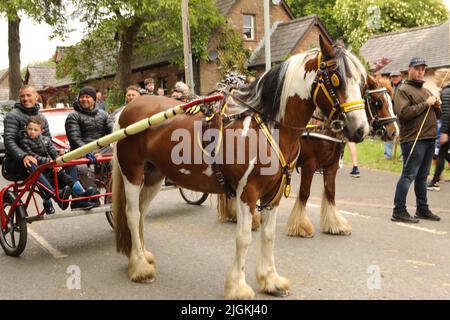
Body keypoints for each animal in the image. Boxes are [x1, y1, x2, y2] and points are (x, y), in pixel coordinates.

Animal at [111, 37, 370, 300]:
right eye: (336, 77)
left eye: (362, 82)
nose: (361, 129)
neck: (267, 126)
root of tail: (127, 108)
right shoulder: (248, 192)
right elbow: (244, 238)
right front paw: (238, 287)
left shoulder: (274, 193)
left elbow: (269, 234)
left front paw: (270, 280)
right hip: (132, 173)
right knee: (132, 215)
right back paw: (140, 268)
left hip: (154, 176)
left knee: (142, 212)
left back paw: (141, 256)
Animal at [218, 75, 398, 238]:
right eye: (377, 102)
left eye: (391, 101)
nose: (394, 132)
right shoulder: (309, 164)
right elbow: (305, 192)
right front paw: (300, 226)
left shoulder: (332, 165)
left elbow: (330, 192)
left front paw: (334, 224)